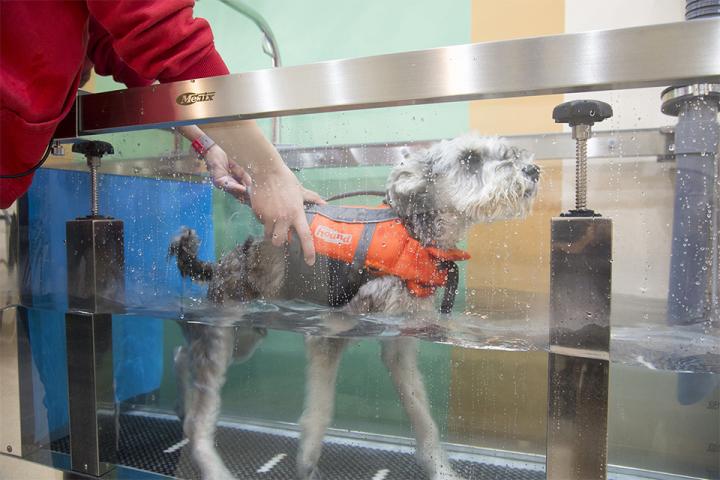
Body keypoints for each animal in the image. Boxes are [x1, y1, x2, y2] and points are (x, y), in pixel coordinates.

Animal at [170, 134, 540, 480]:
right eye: (470, 158)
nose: (533, 170)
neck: (416, 239)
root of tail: (223, 261)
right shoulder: (328, 332)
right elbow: (320, 410)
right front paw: (307, 462)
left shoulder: (400, 341)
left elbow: (423, 416)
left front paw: (441, 470)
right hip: (224, 332)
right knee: (200, 415)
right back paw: (210, 459)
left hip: (245, 338)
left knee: (185, 354)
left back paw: (182, 404)